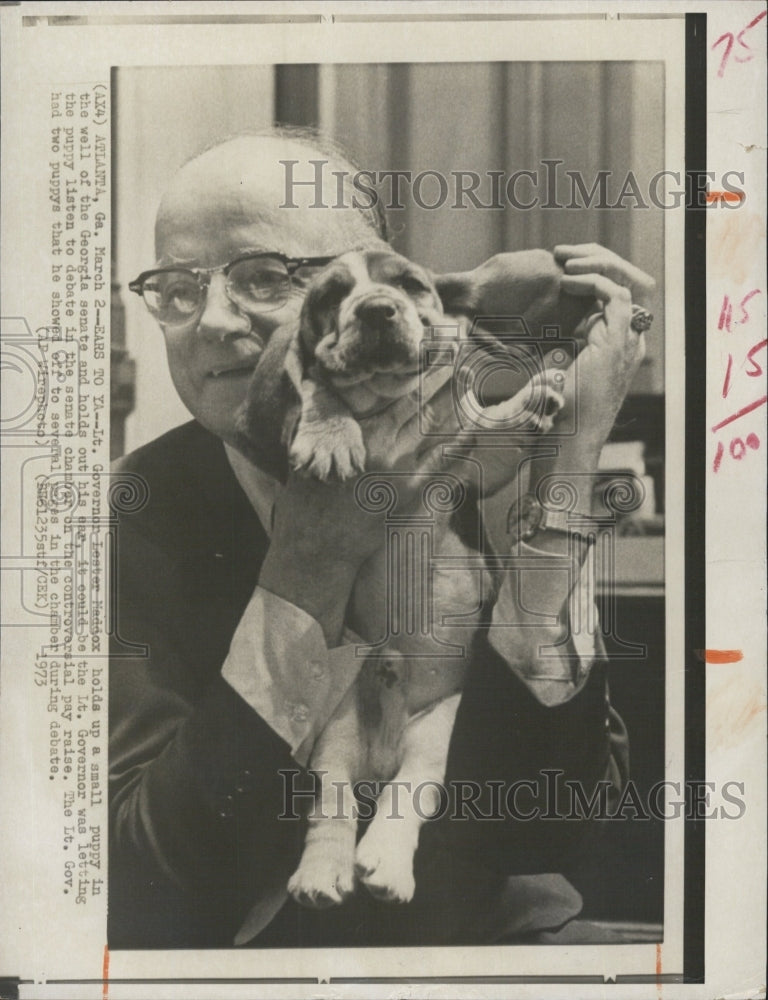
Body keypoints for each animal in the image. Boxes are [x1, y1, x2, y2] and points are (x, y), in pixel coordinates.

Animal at [237, 248, 584, 908]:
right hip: (335, 729)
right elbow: (317, 385)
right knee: (334, 800)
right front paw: (329, 436)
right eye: (331, 295)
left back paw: (385, 864)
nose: (377, 309)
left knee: (411, 788)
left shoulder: (472, 462)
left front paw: (536, 393)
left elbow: (491, 427)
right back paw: (325, 873)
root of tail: (384, 748)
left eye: (409, 284)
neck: (385, 401)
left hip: (439, 725)